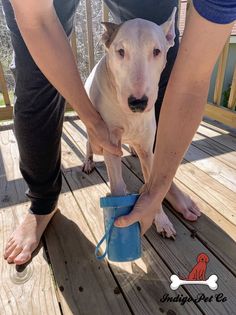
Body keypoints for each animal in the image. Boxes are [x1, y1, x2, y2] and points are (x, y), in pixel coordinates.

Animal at [83, 8, 177, 239]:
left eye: (156, 51)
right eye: (120, 51)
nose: (138, 102)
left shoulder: (148, 150)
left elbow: (152, 187)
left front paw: (161, 220)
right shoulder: (109, 144)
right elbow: (116, 184)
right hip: (94, 138)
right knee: (89, 145)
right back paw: (88, 162)